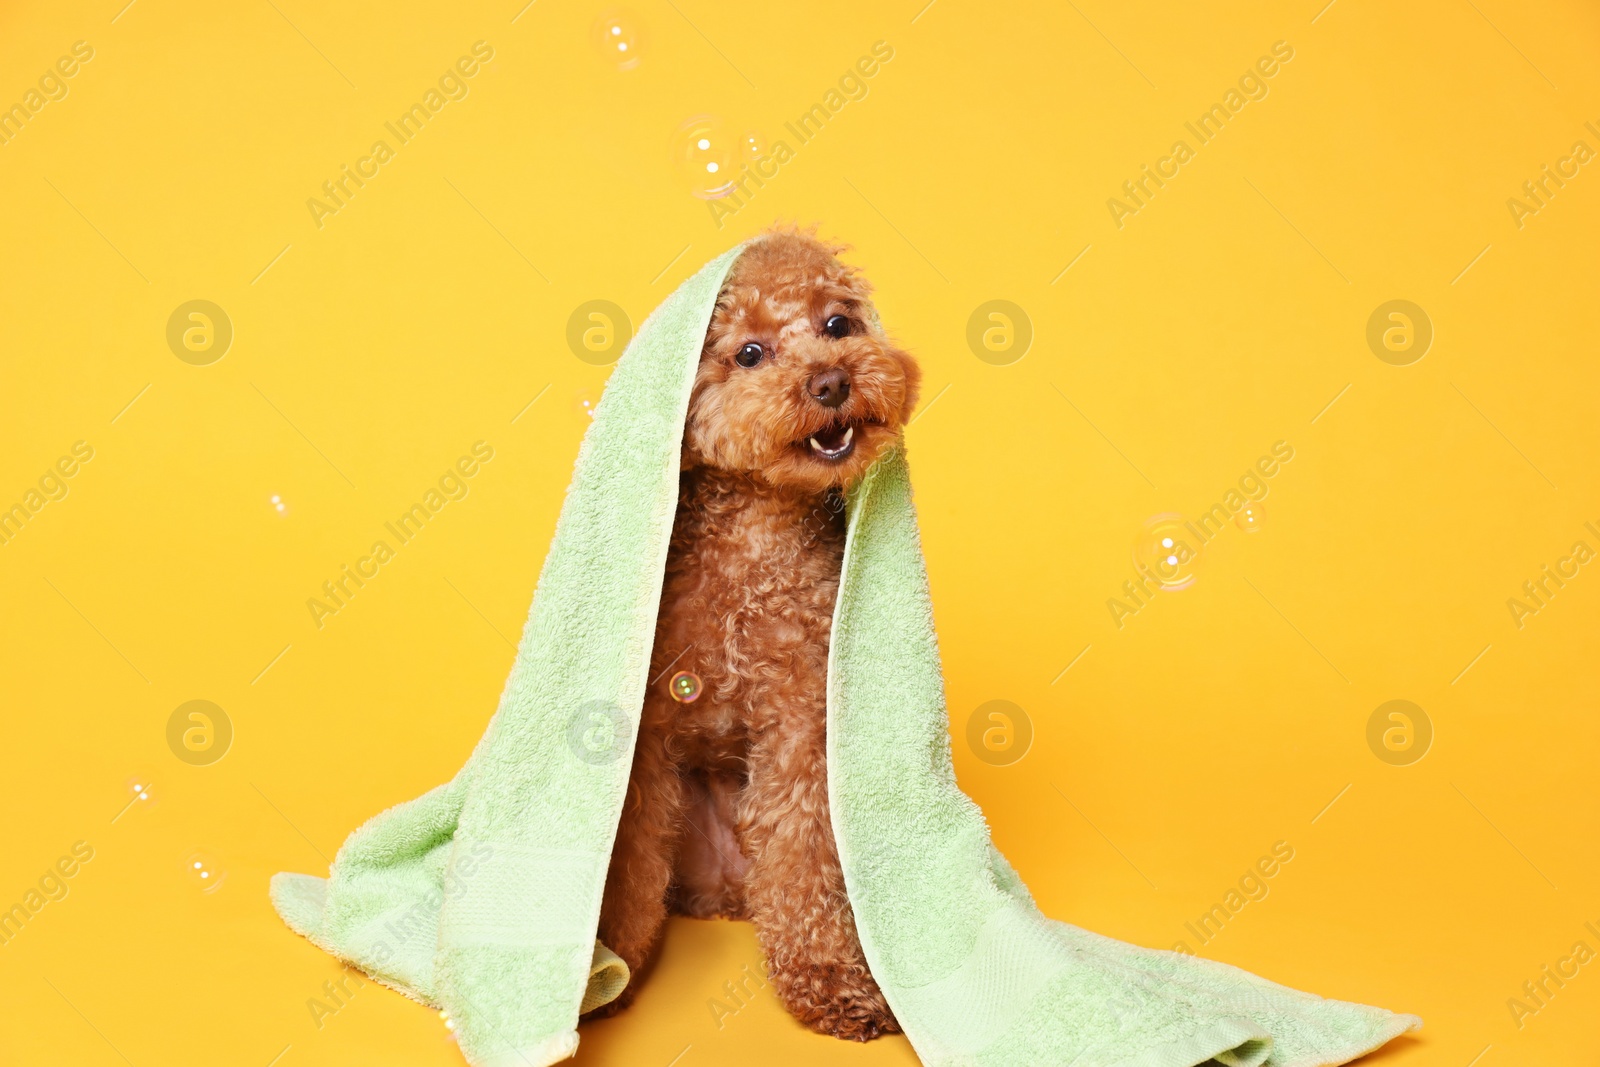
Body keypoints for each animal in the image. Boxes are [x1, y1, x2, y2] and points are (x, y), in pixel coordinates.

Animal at [598, 230, 928, 1036]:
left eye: (838, 324)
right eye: (748, 353)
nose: (833, 381)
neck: (754, 537)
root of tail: (721, 892)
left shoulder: (801, 725)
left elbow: (805, 859)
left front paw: (830, 978)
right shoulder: (645, 735)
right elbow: (624, 861)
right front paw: (607, 967)